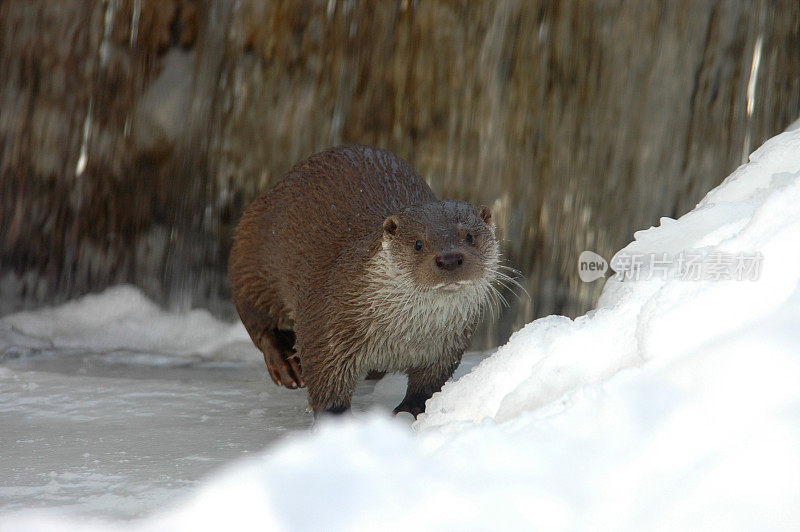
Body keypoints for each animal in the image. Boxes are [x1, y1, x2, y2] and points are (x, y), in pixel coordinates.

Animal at [228, 144, 496, 416]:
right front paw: (336, 418)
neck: (402, 338)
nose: (449, 258)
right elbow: (325, 379)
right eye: (418, 244)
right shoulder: (326, 325)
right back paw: (287, 364)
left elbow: (428, 384)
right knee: (256, 319)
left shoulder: (446, 348)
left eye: (469, 236)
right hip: (252, 257)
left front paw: (409, 410)